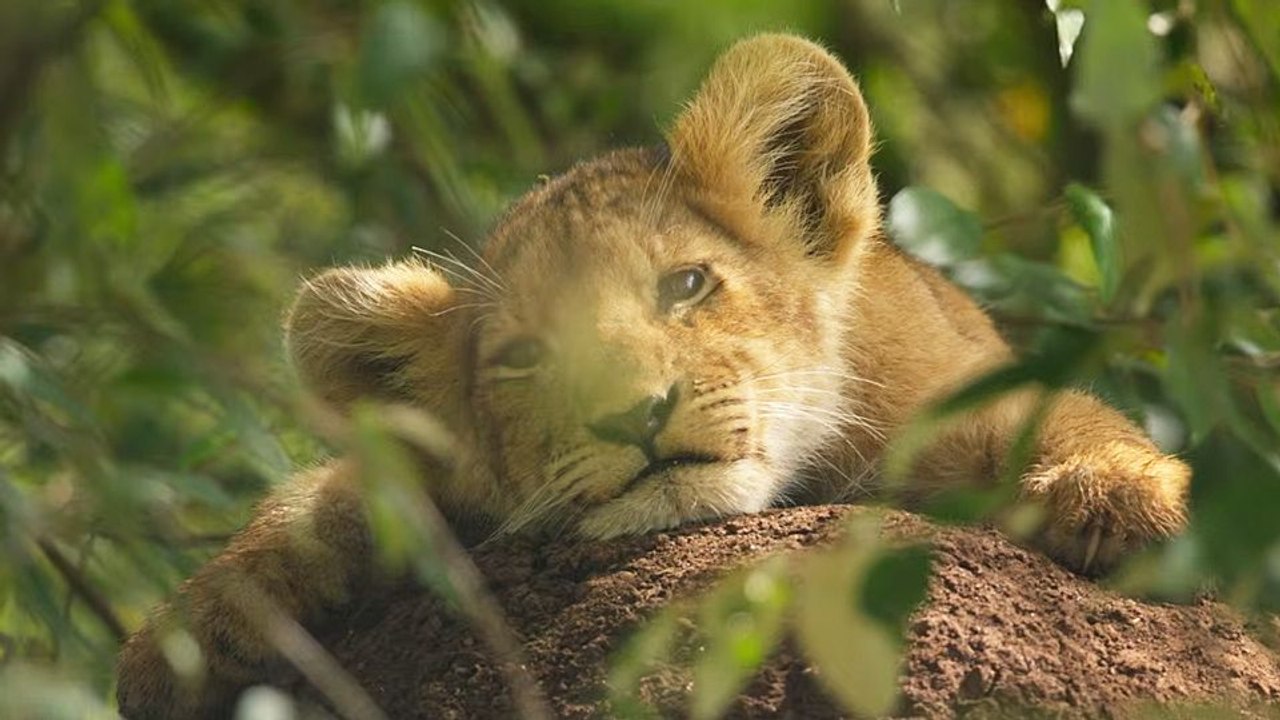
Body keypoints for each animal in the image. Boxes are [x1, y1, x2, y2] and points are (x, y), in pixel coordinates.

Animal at [116, 34, 1189, 718]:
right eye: (523, 358)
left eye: (686, 284)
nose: (636, 416)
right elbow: (329, 491)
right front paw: (193, 630)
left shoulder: (950, 395)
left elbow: (1060, 414)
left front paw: (1122, 498)